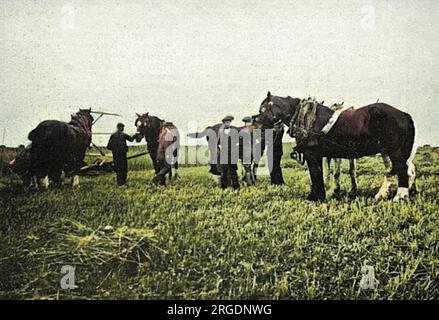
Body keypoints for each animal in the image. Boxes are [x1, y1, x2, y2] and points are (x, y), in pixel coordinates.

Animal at [260, 92, 418, 201]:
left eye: (262, 109)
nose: (257, 123)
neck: (308, 119)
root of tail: (403, 114)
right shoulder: (320, 155)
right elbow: (321, 173)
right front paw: (321, 194)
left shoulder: (312, 154)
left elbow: (315, 174)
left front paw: (315, 197)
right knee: (404, 170)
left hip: (394, 150)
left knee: (401, 169)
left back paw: (400, 196)